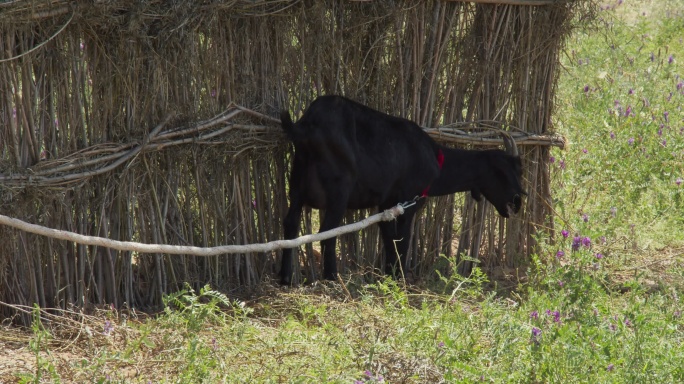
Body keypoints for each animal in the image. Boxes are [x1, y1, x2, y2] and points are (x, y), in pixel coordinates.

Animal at [278, 94, 524, 284]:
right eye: (507, 172)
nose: (518, 201)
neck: (436, 160)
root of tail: (305, 125)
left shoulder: (386, 205)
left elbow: (389, 239)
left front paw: (389, 275)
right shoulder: (408, 202)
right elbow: (402, 239)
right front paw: (401, 278)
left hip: (297, 182)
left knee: (290, 225)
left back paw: (285, 278)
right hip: (339, 191)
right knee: (328, 231)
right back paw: (331, 278)